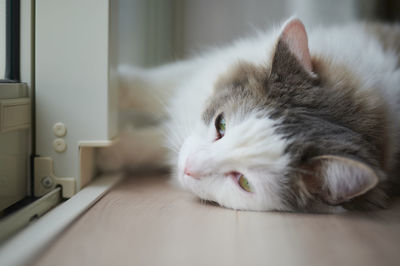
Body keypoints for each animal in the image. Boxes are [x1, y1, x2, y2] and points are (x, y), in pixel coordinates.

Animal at [97, 17, 400, 213]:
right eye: (221, 124)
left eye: (243, 182)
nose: (188, 167)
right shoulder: (203, 73)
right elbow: (149, 84)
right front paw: (111, 86)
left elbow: (146, 146)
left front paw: (106, 155)